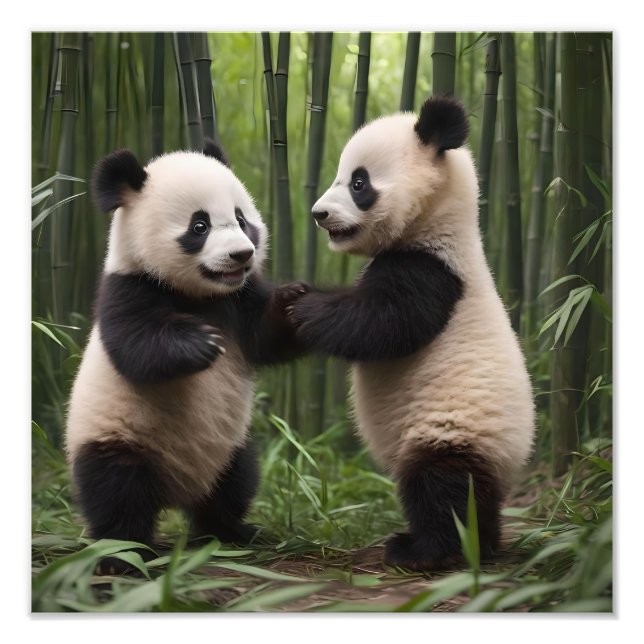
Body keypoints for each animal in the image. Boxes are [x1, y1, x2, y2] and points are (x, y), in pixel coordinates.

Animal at [66, 141, 304, 572]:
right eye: (200, 226)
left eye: (242, 219)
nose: (242, 255)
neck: (200, 295)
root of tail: (178, 489)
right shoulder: (128, 289)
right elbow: (136, 345)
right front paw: (201, 345)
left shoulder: (239, 299)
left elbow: (265, 336)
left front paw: (293, 300)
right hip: (118, 438)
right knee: (117, 491)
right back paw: (122, 553)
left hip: (231, 447)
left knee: (235, 484)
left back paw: (232, 532)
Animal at [285, 96, 535, 571]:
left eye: (359, 182)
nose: (318, 214)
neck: (435, 221)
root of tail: (512, 462)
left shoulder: (434, 273)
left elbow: (381, 324)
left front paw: (302, 307)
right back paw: (485, 543)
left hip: (453, 428)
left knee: (442, 488)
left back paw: (427, 550)